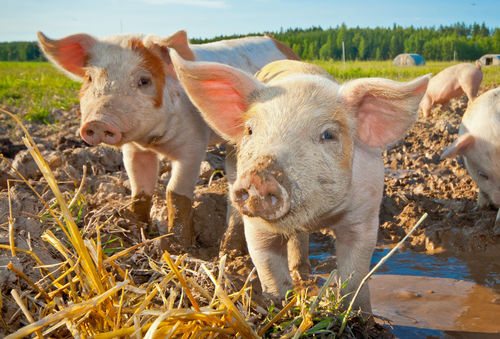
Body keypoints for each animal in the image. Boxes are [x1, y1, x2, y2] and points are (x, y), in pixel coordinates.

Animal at [37, 29, 298, 247]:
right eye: (90, 79)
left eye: (144, 80)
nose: (98, 122)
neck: (154, 142)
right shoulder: (134, 150)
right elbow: (139, 190)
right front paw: (138, 232)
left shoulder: (193, 145)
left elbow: (175, 193)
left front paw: (178, 247)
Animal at [171, 51, 430, 314]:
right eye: (250, 130)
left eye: (328, 135)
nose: (259, 178)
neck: (317, 217)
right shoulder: (257, 227)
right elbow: (268, 267)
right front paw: (280, 304)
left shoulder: (364, 215)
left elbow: (355, 274)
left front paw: (360, 314)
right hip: (233, 169)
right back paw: (230, 251)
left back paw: (303, 272)